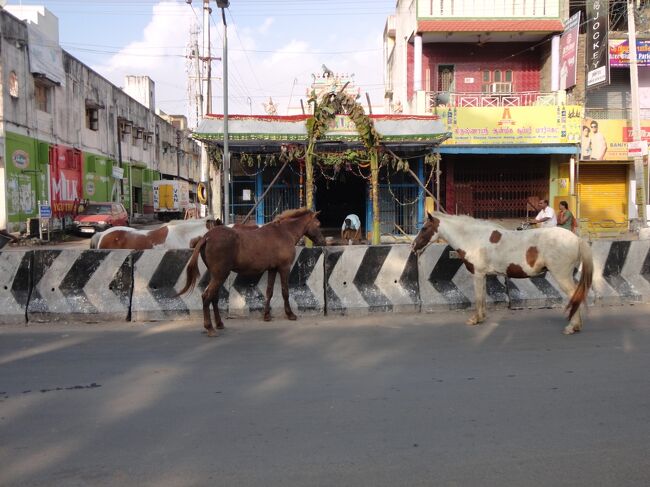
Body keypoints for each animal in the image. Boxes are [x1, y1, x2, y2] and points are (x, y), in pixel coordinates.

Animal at [177, 208, 324, 338]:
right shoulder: (284, 268)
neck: (284, 232)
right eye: (318, 224)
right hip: (220, 275)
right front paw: (290, 314)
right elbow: (285, 292)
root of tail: (206, 236)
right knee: (206, 296)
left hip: (217, 275)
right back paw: (210, 328)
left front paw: (266, 315)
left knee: (213, 297)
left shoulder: (272, 269)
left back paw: (219, 323)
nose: (323, 241)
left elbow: (269, 292)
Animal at [410, 214, 592, 336]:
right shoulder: (483, 275)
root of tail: (576, 239)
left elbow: (478, 298)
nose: (413, 245)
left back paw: (572, 327)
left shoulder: (477, 274)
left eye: (424, 228)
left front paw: (475, 319)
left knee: (574, 294)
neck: (474, 238)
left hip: (562, 276)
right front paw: (482, 318)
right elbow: (483, 297)